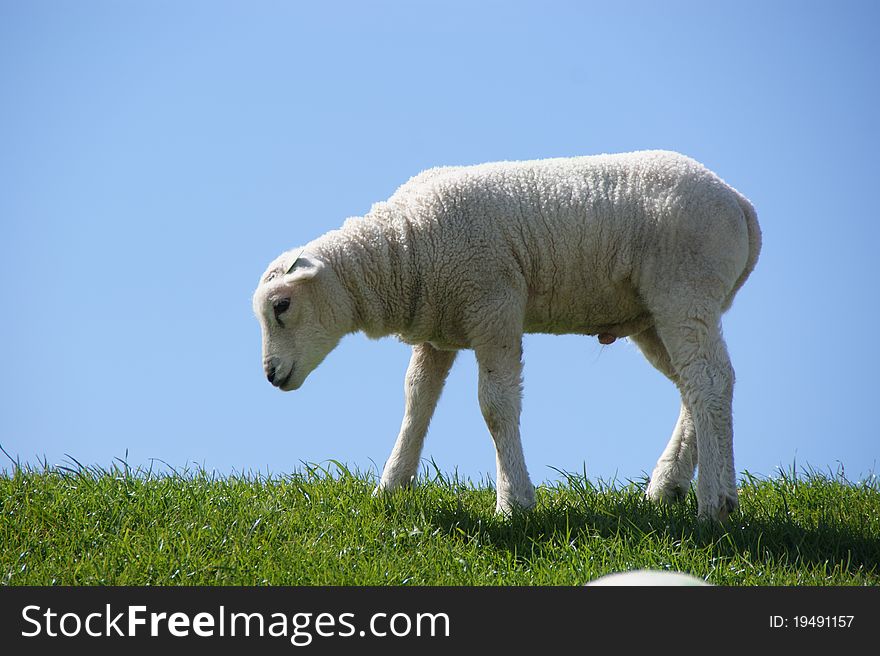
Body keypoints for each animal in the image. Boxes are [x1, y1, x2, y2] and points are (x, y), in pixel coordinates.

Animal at [251, 150, 760, 524]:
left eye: (281, 306)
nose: (272, 375)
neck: (403, 250)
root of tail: (740, 203)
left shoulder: (493, 307)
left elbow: (495, 407)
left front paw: (513, 502)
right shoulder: (438, 331)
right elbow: (417, 400)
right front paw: (392, 486)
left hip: (685, 289)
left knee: (709, 381)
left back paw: (715, 503)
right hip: (654, 313)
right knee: (696, 385)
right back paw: (670, 486)